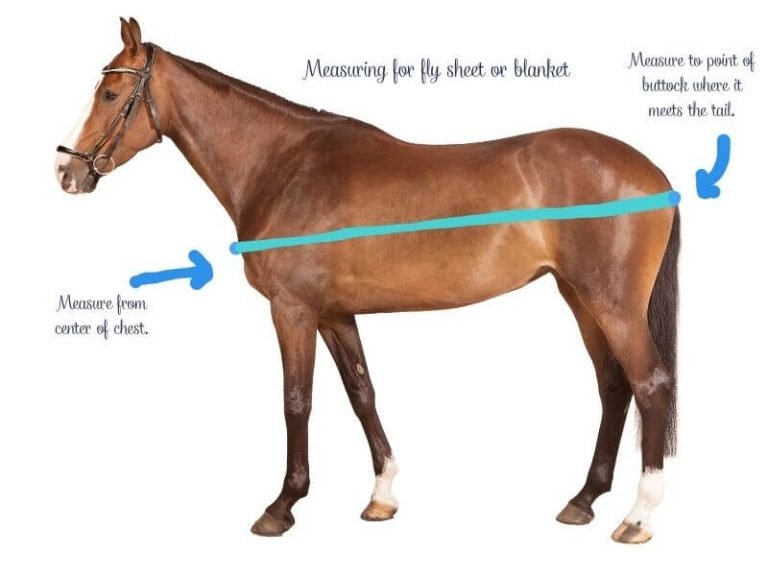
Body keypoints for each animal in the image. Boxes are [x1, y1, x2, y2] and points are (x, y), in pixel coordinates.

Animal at [55, 18, 679, 544]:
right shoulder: (334, 314)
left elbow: (297, 400)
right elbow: (362, 394)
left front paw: (282, 506)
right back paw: (584, 499)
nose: (66, 171)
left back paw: (637, 517)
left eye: (110, 95)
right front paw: (382, 496)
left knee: (649, 385)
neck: (284, 166)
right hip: (580, 298)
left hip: (612, 304)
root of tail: (653, 173)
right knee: (614, 387)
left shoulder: (292, 310)